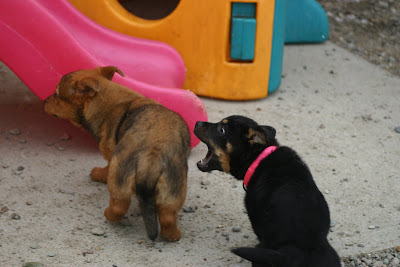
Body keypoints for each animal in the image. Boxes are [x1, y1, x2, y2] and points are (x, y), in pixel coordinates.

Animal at [43, 66, 191, 242]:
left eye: (56, 95)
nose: (44, 101)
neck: (108, 100)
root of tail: (151, 157)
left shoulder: (110, 154)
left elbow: (106, 168)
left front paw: (99, 174)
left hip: (119, 176)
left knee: (119, 206)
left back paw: (109, 215)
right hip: (175, 187)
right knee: (168, 216)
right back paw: (173, 235)